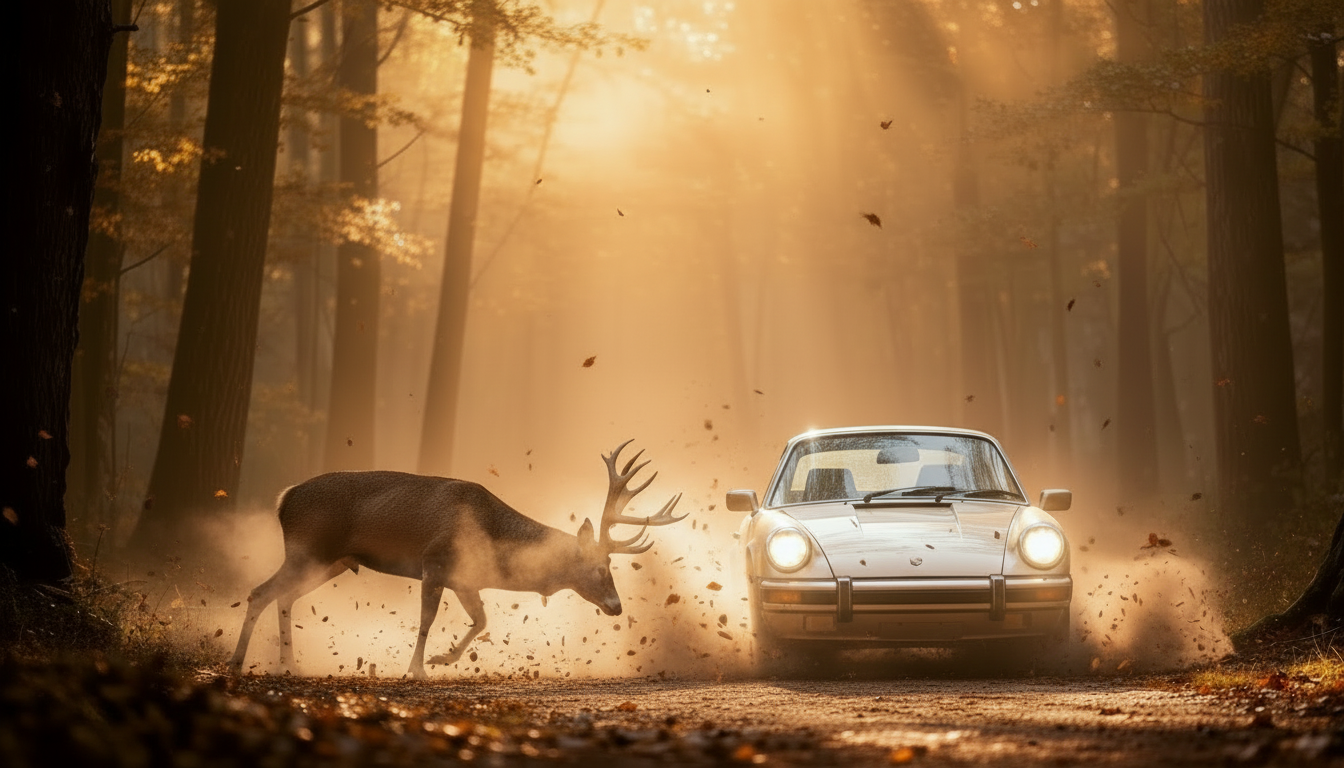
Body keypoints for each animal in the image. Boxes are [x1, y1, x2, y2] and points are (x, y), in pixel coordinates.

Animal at [227, 440, 684, 679]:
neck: (491, 536)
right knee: (261, 592)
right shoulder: (434, 561)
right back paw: (236, 662)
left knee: (284, 597)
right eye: (600, 568)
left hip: (331, 561)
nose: (617, 606)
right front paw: (417, 669)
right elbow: (427, 619)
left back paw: (289, 663)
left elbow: (481, 622)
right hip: (308, 549)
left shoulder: (467, 580)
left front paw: (442, 658)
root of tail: (284, 499)